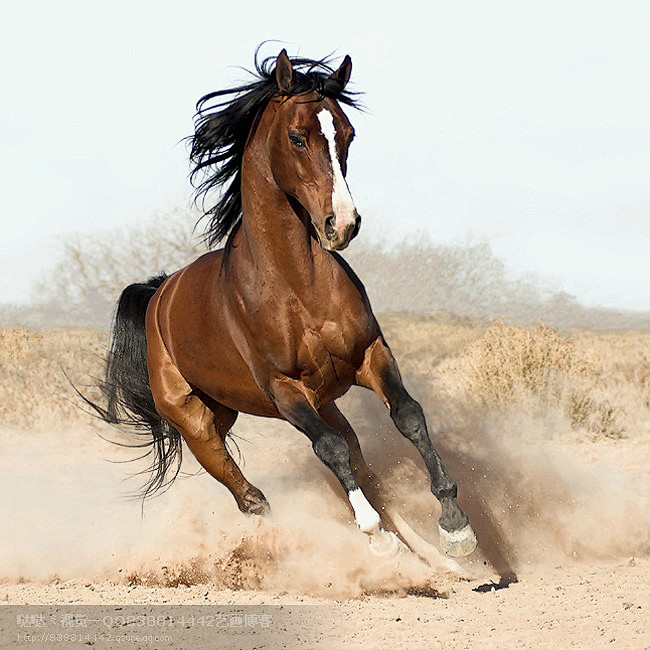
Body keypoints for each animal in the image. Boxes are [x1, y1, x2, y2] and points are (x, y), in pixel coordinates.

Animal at [93, 49, 474, 556]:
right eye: (297, 137)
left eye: (348, 133)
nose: (343, 224)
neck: (297, 286)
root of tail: (159, 295)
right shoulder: (284, 390)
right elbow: (329, 450)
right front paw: (375, 536)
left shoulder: (370, 354)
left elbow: (408, 417)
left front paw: (455, 526)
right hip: (198, 424)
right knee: (251, 495)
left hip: (302, 402)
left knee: (353, 455)